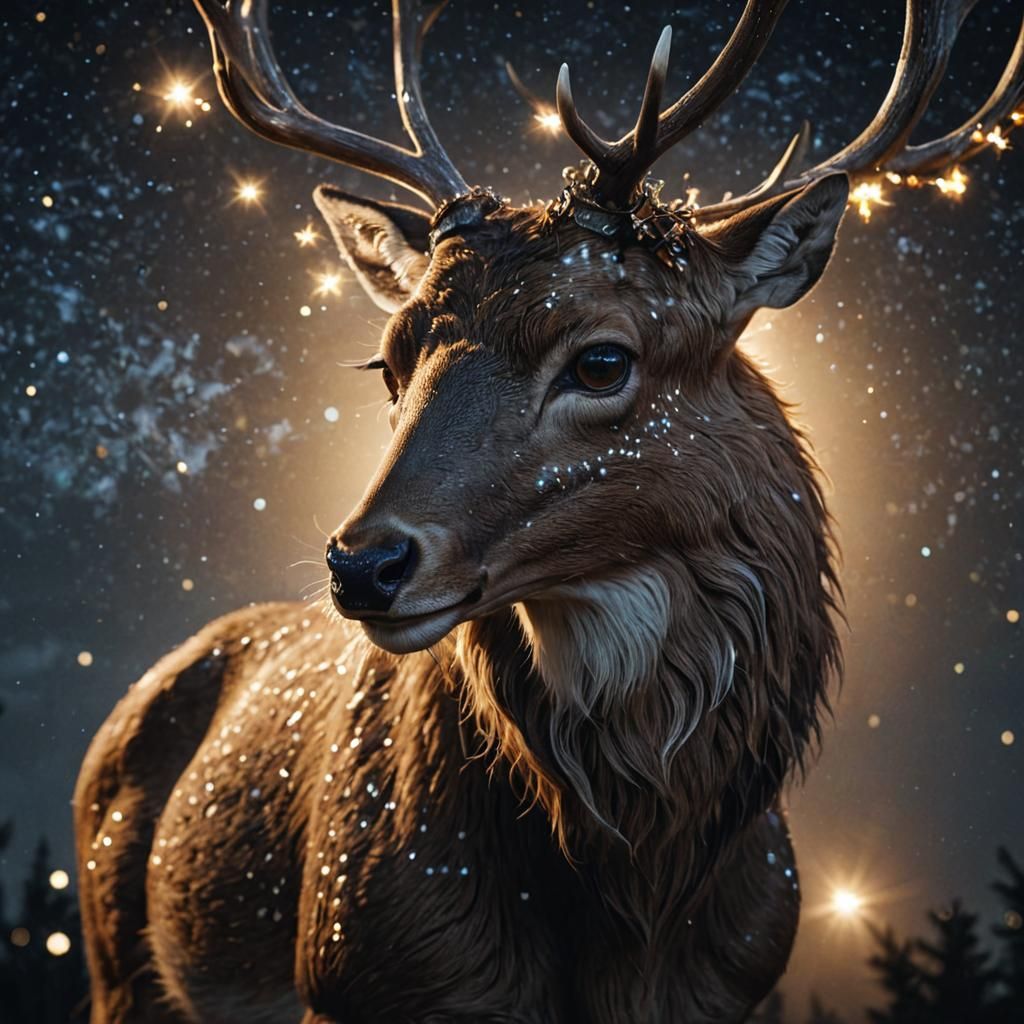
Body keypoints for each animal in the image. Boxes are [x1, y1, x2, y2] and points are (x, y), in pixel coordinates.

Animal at [73, 1, 1023, 1021]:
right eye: (388, 363)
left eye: (602, 360)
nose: (362, 564)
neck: (639, 911)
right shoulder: (353, 966)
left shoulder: (737, 980)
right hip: (113, 957)